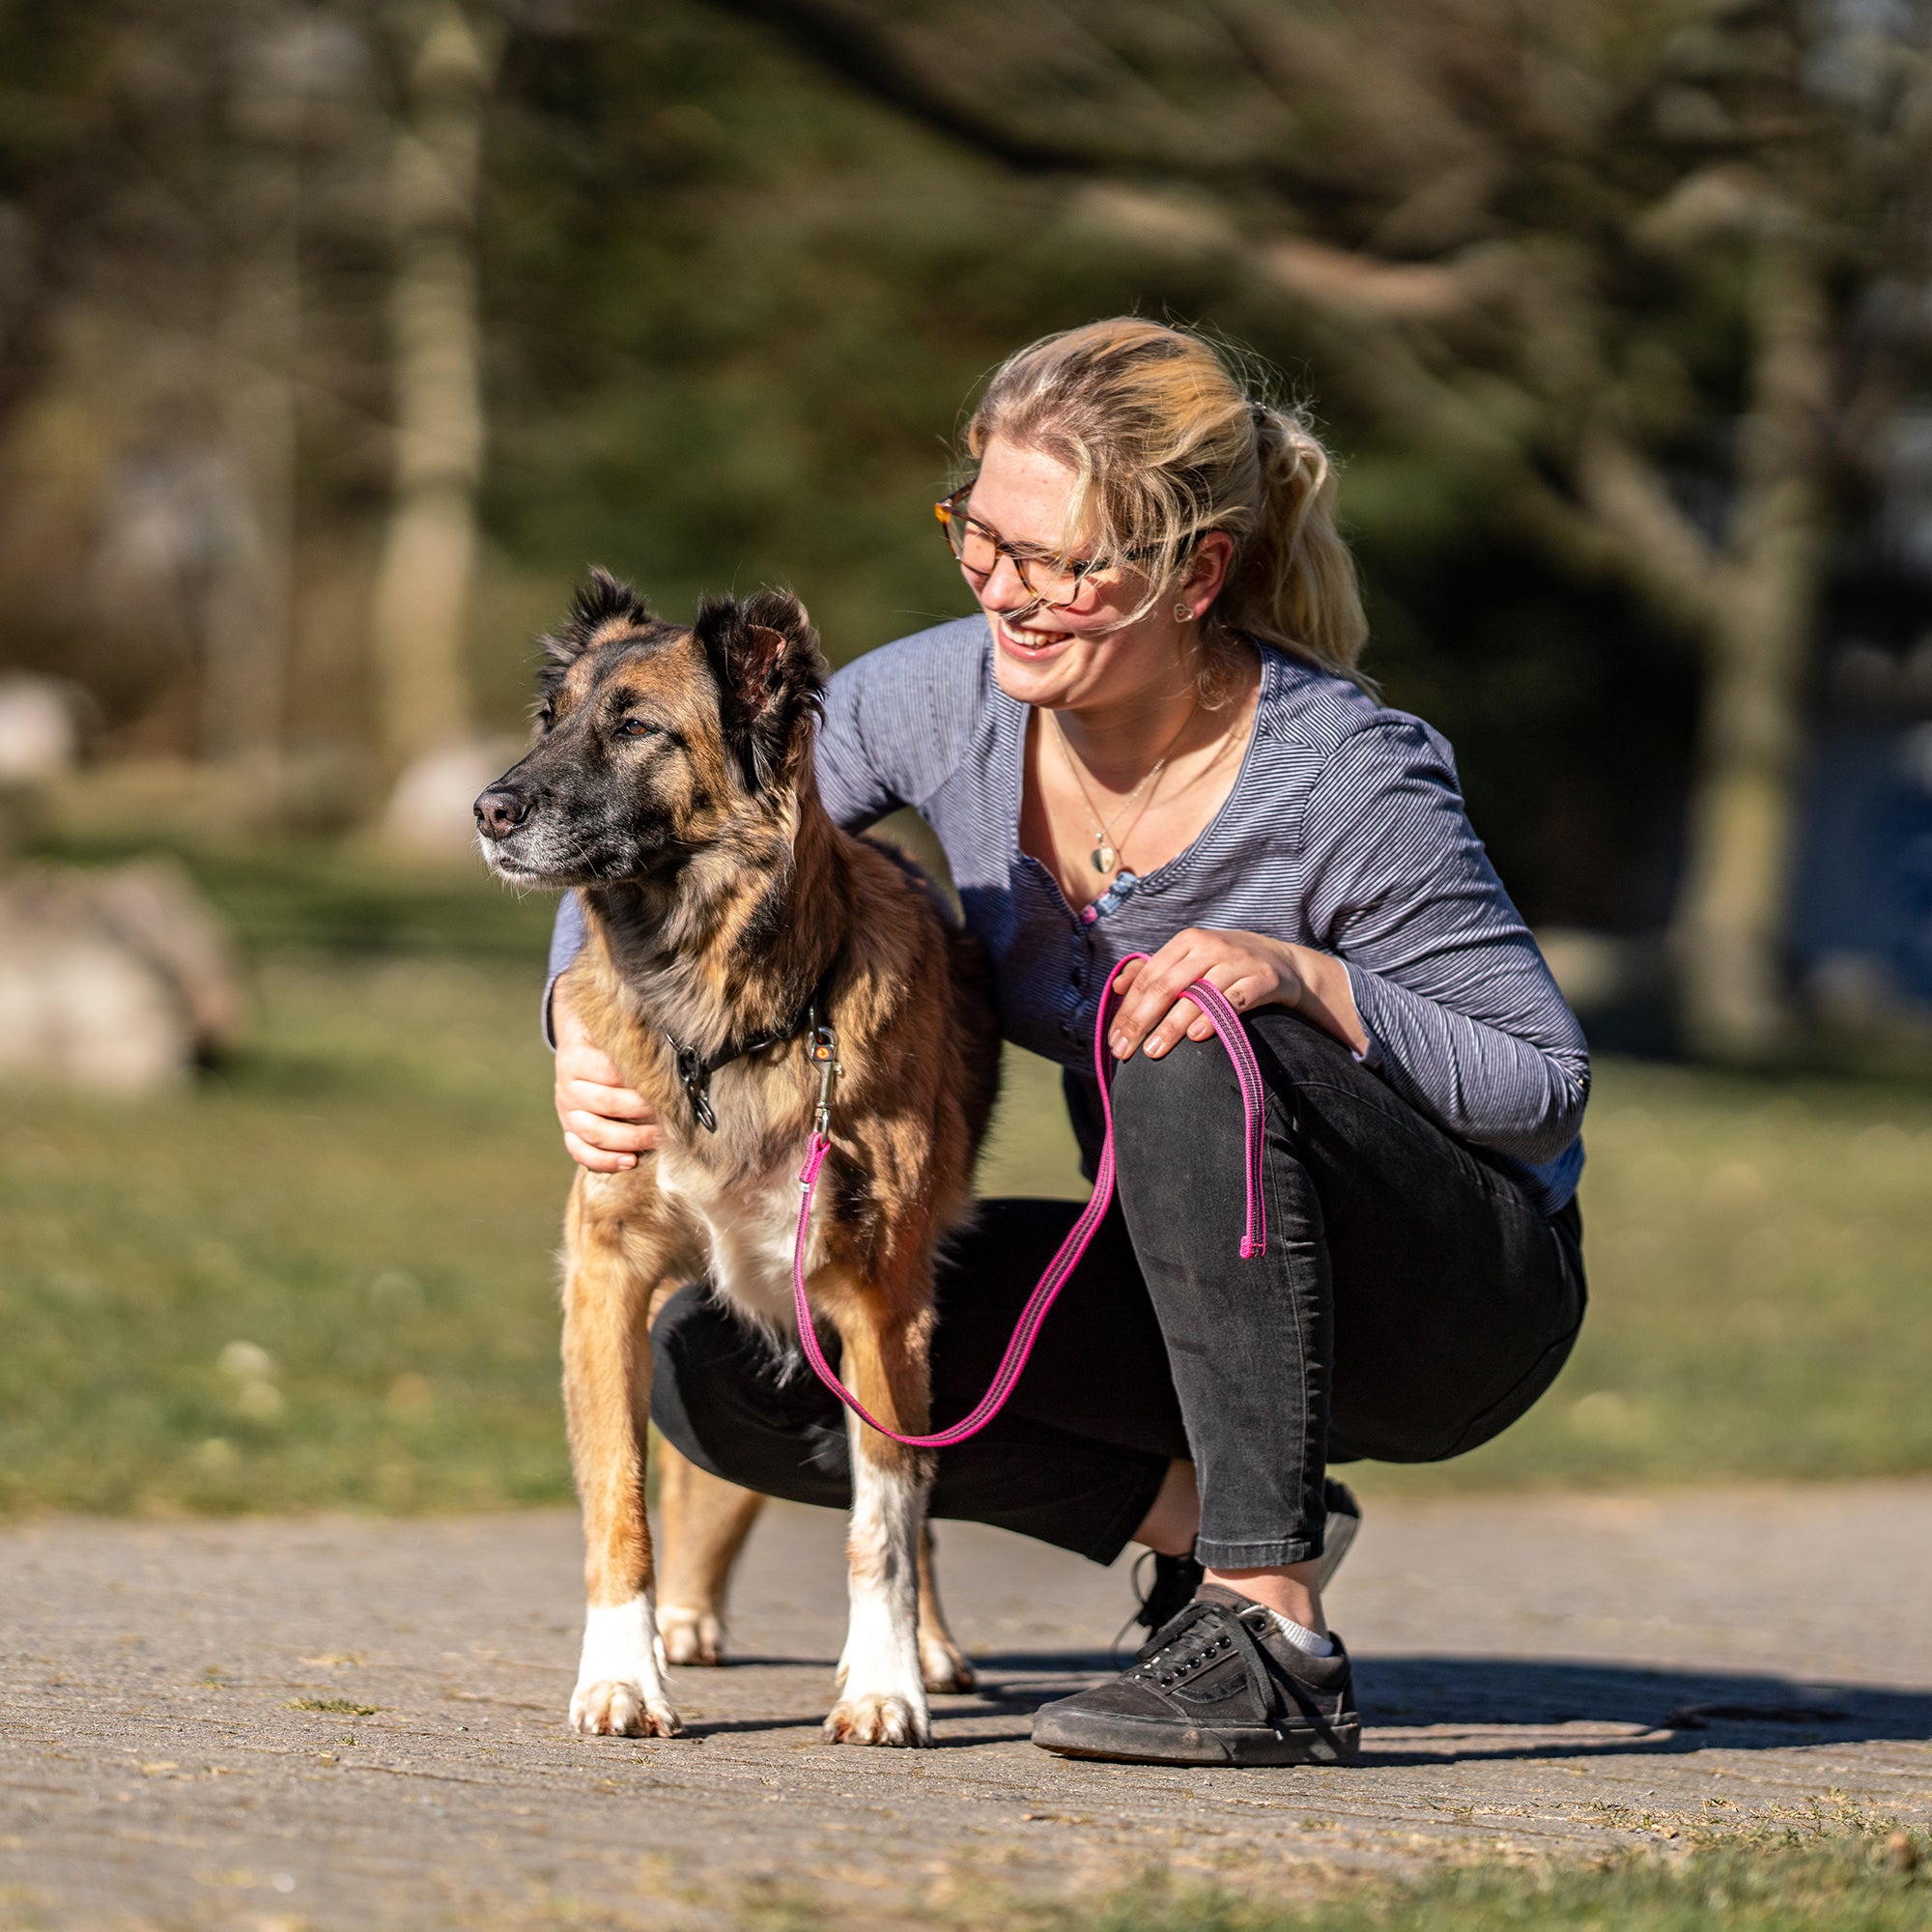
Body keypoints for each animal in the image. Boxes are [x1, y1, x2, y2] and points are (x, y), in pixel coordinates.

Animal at [475, 572, 1005, 1754]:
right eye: (551, 720)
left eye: (635, 728)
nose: (488, 809)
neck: (723, 1022)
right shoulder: (609, 1278)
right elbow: (621, 1494)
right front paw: (622, 1675)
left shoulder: (879, 1299)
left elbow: (885, 1514)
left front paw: (883, 1683)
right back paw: (683, 1621)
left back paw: (929, 1648)